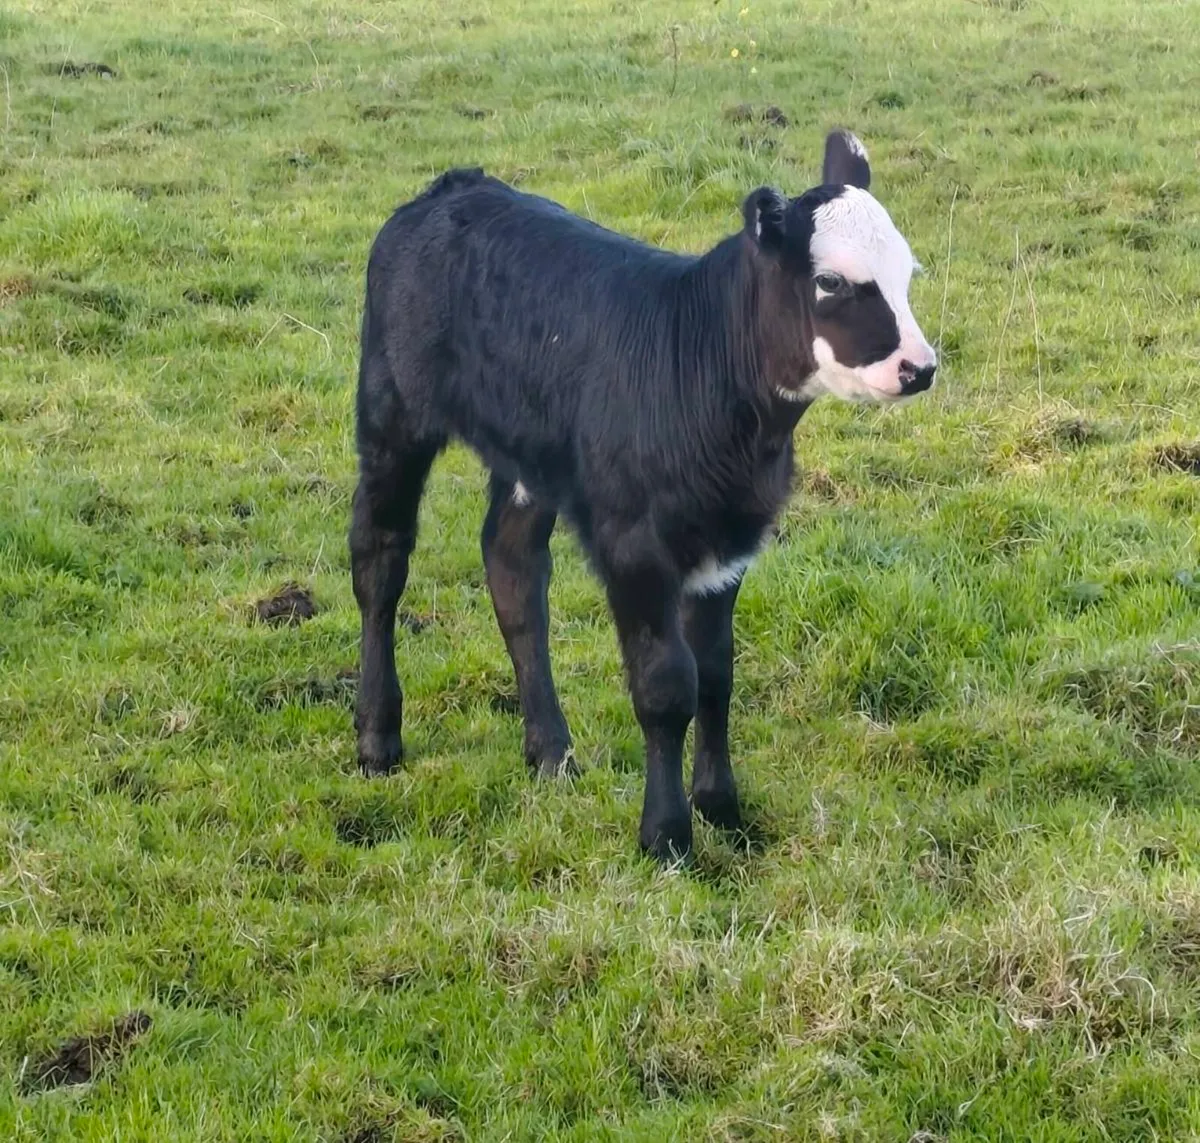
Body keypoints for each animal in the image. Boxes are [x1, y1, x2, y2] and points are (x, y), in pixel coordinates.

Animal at [350, 129, 937, 862]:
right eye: (831, 281)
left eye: (907, 273)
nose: (920, 368)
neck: (704, 368)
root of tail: (454, 186)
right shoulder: (634, 544)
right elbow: (665, 687)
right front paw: (666, 837)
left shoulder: (728, 542)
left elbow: (715, 675)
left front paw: (723, 809)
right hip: (391, 411)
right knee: (380, 562)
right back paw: (378, 739)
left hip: (530, 455)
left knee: (513, 572)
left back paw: (551, 753)